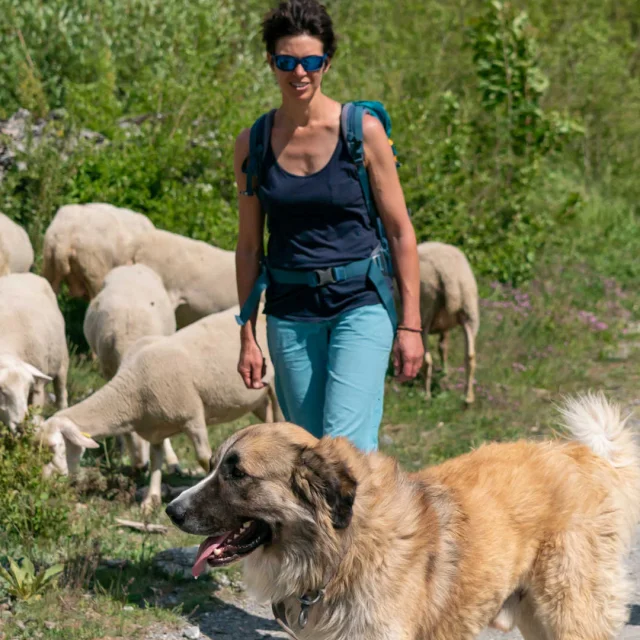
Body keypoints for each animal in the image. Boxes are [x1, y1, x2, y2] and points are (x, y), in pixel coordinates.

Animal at [0, 274, 68, 430]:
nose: (21, 427)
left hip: (62, 360)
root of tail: (27, 275)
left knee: (62, 393)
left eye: (27, 389)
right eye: (2, 391)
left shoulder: (38, 388)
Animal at [40, 304, 280, 510]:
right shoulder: (156, 428)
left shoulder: (192, 417)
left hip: (276, 387)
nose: (43, 480)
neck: (132, 391)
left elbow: (204, 458)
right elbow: (156, 460)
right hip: (258, 399)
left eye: (53, 447)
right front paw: (151, 499)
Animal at [82, 264, 179, 470]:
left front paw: (172, 461)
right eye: (126, 430)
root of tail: (132, 266)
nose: (141, 466)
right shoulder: (109, 373)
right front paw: (119, 453)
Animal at [166, 392, 640, 636]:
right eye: (214, 466)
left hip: (571, 611)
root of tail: (581, 454)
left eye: (237, 473)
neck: (342, 551)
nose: (172, 510)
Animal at [412, 242, 478, 402]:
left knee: (427, 359)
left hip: (424, 311)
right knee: (470, 356)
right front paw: (445, 373)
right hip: (469, 310)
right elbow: (443, 347)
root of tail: (448, 273)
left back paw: (426, 395)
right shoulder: (445, 326)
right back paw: (468, 398)